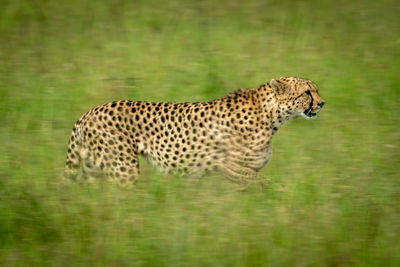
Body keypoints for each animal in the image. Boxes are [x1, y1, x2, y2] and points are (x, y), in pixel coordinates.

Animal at [64, 77, 324, 188]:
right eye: (307, 92)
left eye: (316, 90)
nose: (322, 103)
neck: (272, 115)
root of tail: (88, 112)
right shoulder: (231, 166)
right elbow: (265, 183)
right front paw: (281, 196)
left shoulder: (241, 171)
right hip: (123, 169)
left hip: (92, 168)